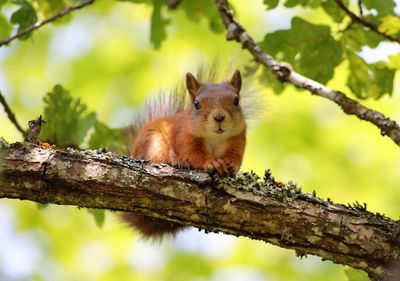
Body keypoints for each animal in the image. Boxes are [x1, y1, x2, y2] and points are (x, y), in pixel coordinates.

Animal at [122, 68, 247, 238]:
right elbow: (195, 155)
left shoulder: (238, 140)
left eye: (236, 101)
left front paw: (231, 165)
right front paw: (212, 162)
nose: (219, 117)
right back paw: (175, 161)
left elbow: (235, 157)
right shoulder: (185, 137)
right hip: (153, 142)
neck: (215, 137)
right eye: (196, 104)